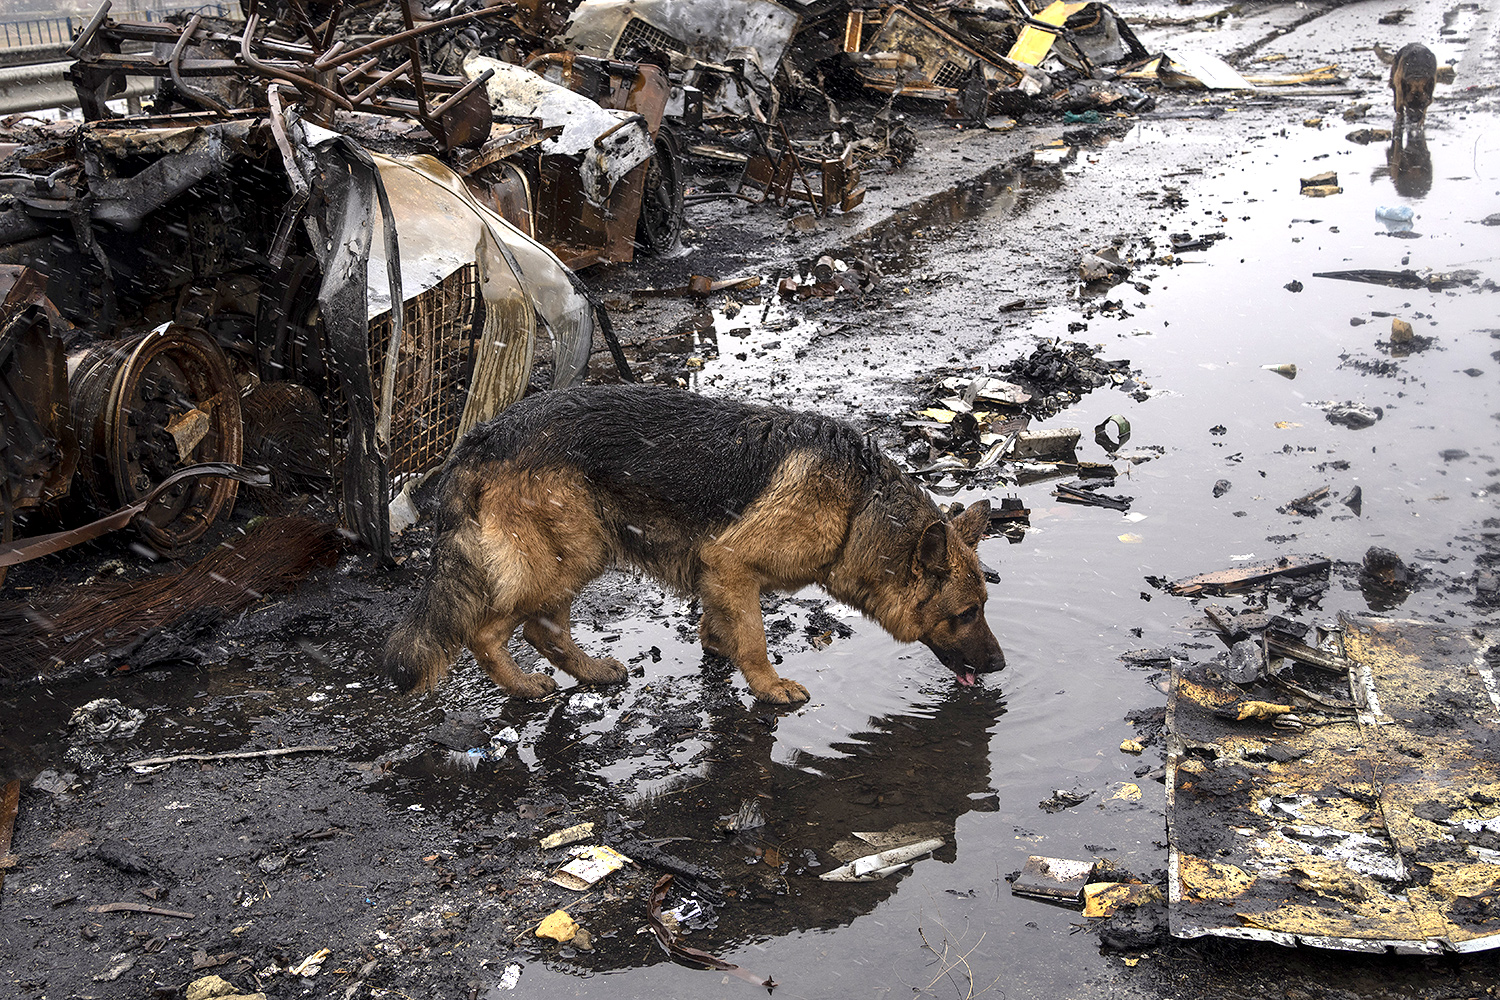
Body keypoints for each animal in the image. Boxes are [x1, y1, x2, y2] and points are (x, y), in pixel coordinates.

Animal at [384, 383, 1008, 704]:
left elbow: (720, 623)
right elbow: (754, 638)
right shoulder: (730, 562)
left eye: (984, 607)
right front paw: (769, 686)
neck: (858, 505)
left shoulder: (718, 573)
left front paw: (716, 647)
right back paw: (521, 686)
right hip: (573, 553)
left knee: (543, 629)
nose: (1002, 666)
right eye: (965, 613)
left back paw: (589, 673)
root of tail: (483, 435)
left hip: (578, 551)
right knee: (490, 631)